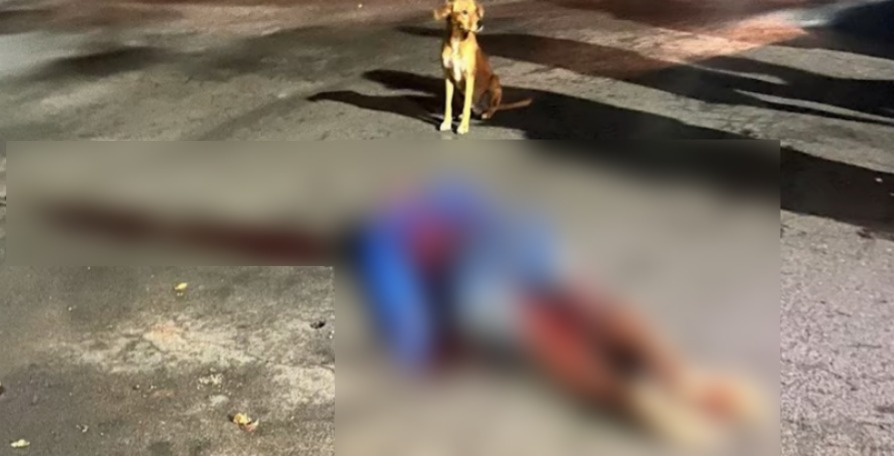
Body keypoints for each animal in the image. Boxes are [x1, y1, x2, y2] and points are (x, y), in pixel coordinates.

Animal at [433, 0, 531, 134]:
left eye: (476, 10)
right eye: (464, 12)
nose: (480, 23)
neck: (457, 40)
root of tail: (479, 108)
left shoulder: (469, 76)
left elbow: (466, 106)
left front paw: (463, 127)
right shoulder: (448, 76)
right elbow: (448, 105)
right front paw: (447, 123)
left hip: (494, 82)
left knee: (491, 107)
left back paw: (486, 113)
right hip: (459, 93)